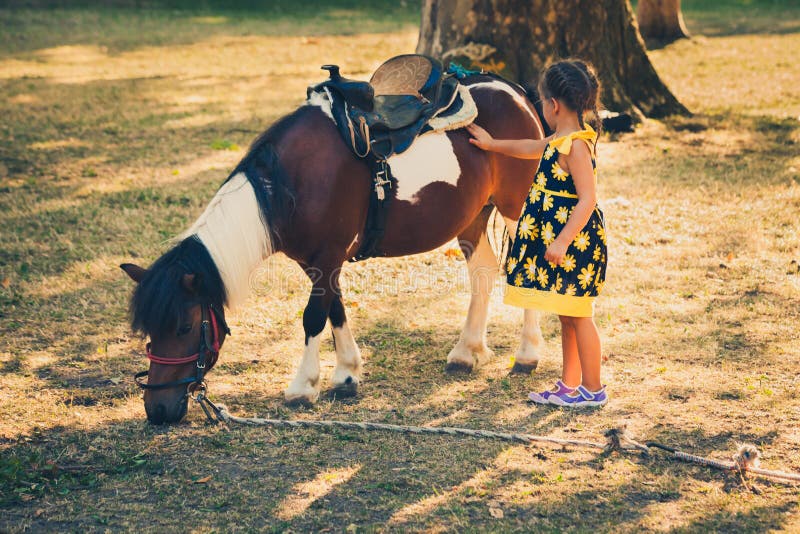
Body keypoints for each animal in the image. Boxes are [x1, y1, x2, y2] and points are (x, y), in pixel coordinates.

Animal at [123, 73, 552, 428]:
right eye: (149, 329)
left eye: (185, 327)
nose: (157, 410)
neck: (290, 182)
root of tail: (516, 91)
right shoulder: (318, 264)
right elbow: (336, 309)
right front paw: (346, 374)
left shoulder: (328, 256)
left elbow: (314, 317)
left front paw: (303, 386)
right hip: (473, 218)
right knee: (483, 272)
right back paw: (467, 351)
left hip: (517, 208)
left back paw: (526, 355)